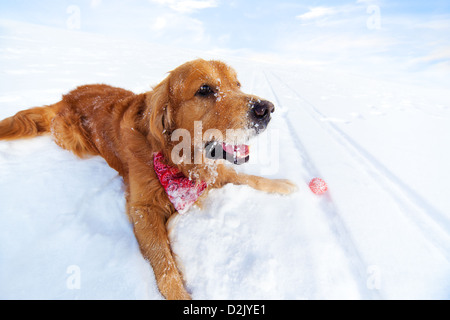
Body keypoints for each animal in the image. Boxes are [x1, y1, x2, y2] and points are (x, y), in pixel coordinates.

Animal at [0, 58, 298, 300]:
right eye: (204, 90)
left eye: (237, 84)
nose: (266, 109)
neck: (176, 159)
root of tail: (64, 97)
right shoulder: (143, 208)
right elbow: (164, 263)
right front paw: (179, 294)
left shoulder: (214, 170)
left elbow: (248, 177)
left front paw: (284, 185)